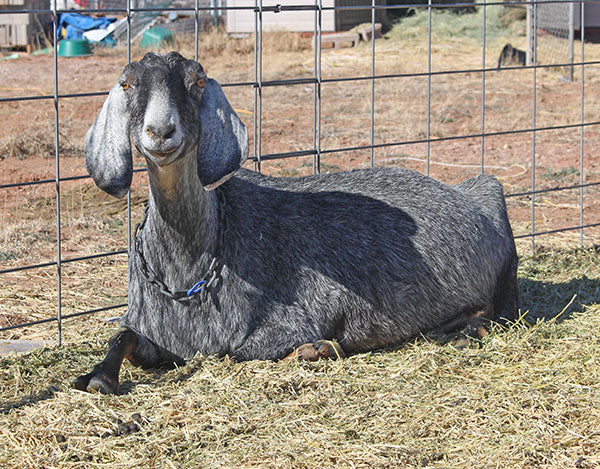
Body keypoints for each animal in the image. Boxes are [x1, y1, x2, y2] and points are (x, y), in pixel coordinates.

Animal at [72, 52, 516, 394]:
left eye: (197, 80)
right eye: (127, 83)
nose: (161, 132)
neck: (190, 263)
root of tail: (465, 193)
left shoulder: (292, 319)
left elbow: (242, 350)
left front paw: (320, 346)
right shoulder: (162, 338)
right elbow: (124, 336)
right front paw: (98, 377)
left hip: (497, 227)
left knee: (496, 312)